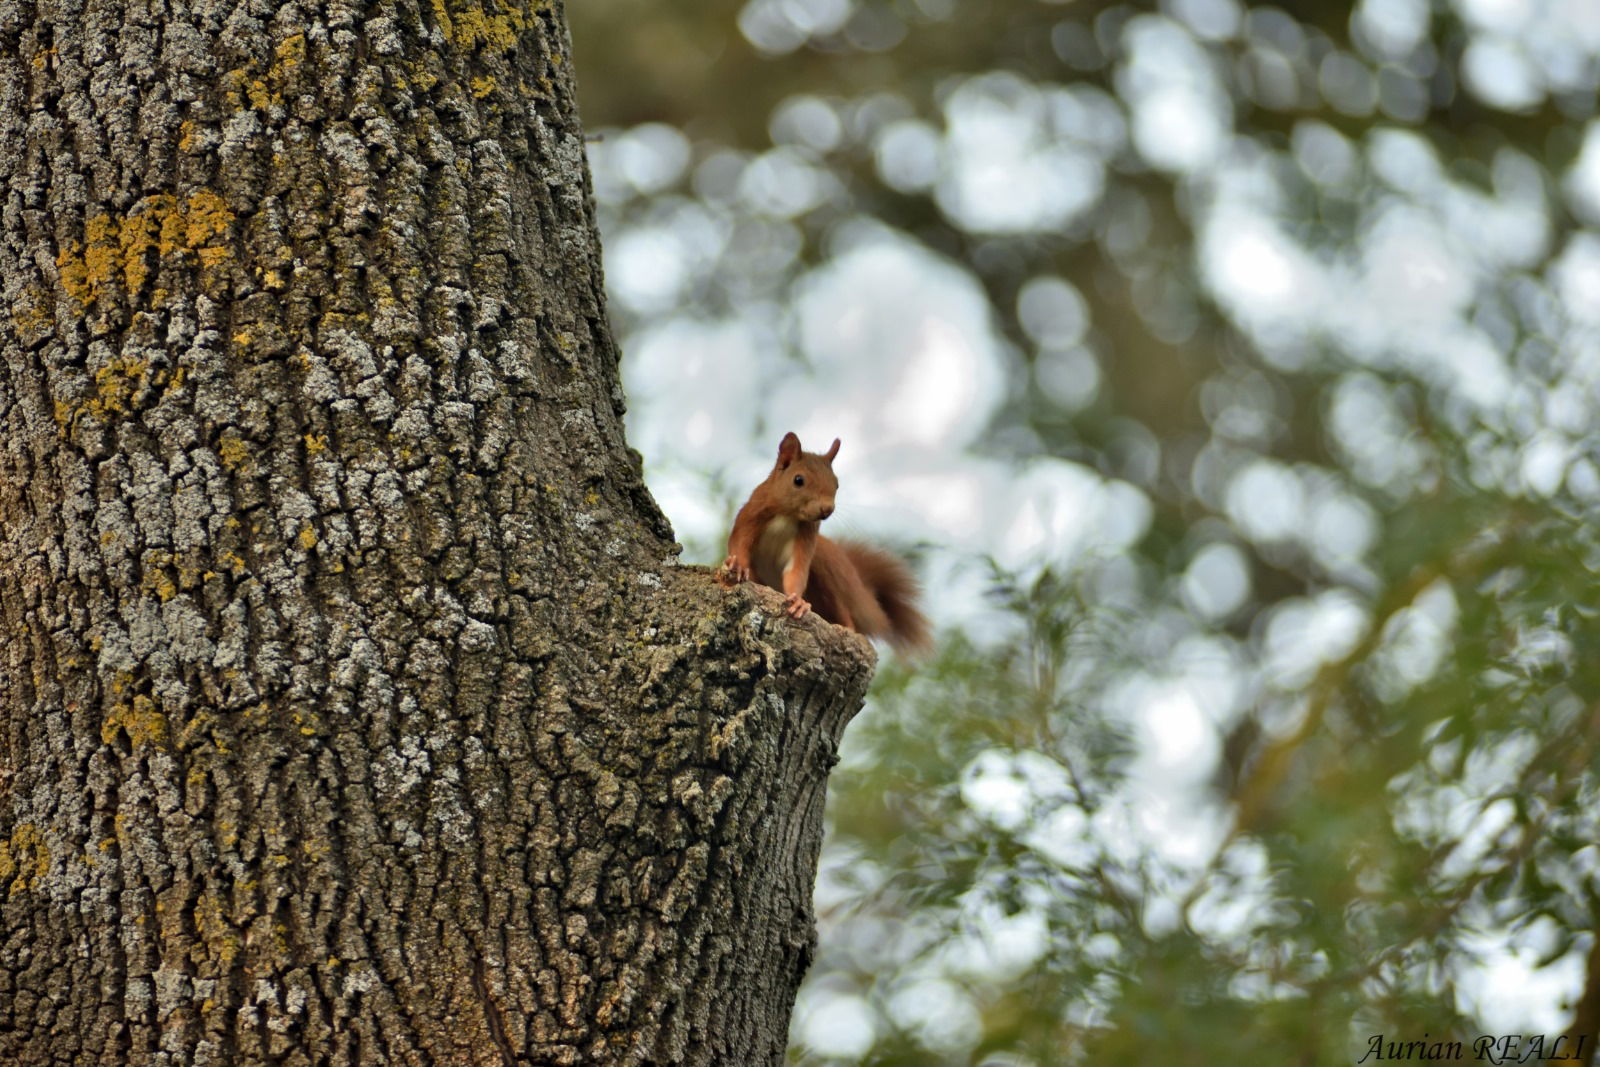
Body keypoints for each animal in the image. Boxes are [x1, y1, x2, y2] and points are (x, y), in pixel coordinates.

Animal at [723, 428, 934, 655]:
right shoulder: (750, 516)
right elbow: (739, 544)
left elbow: (796, 571)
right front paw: (738, 565)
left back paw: (845, 627)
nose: (827, 509)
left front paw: (798, 602)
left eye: (836, 483)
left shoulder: (806, 538)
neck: (787, 515)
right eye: (798, 480)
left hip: (828, 568)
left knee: (843, 610)